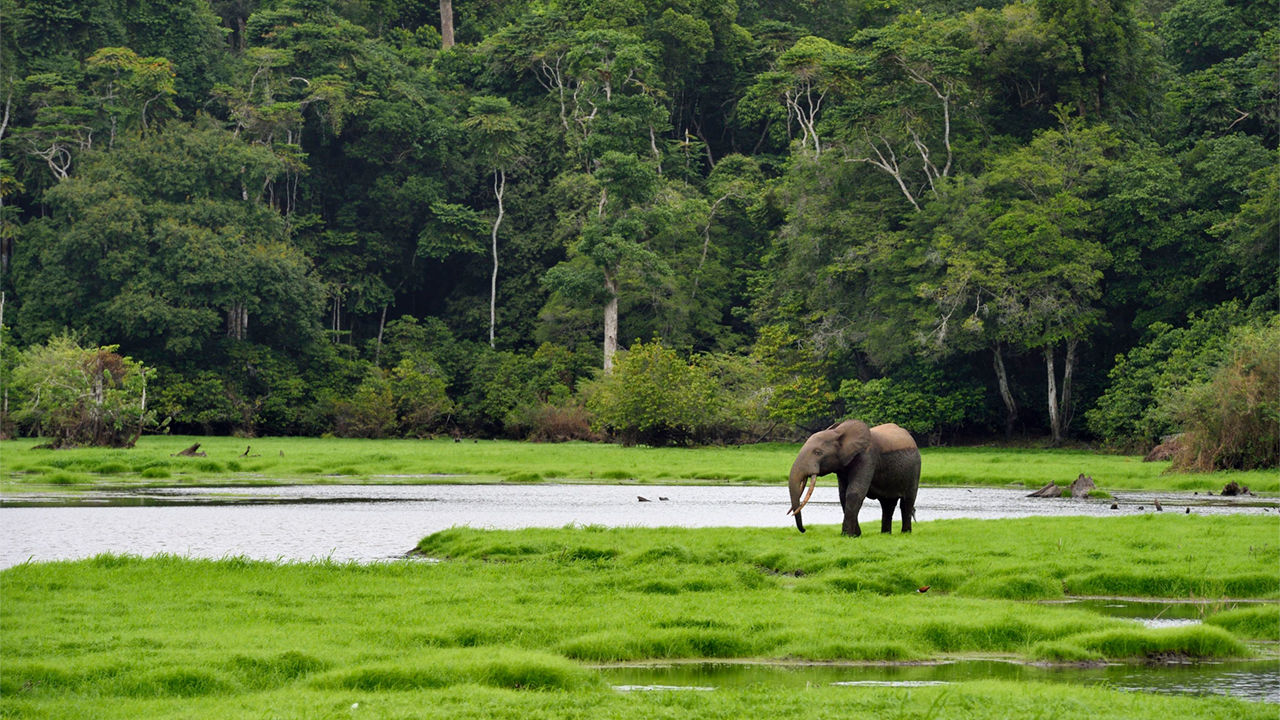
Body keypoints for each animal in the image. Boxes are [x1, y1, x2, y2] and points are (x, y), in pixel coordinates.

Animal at [788, 420, 921, 532]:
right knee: (887, 504)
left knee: (907, 502)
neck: (839, 432)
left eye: (818, 452)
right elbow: (843, 495)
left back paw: (905, 533)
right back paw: (885, 534)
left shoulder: (867, 457)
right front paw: (856, 535)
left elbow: (854, 493)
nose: (804, 530)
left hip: (915, 468)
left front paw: (847, 535)